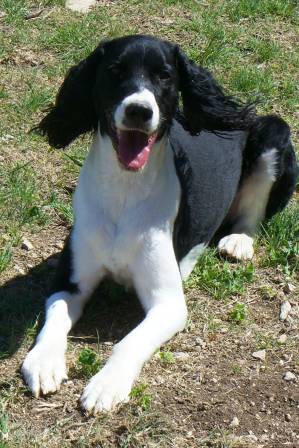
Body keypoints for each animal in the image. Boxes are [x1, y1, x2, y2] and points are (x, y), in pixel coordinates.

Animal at [21, 34, 299, 412]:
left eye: (164, 76)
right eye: (115, 70)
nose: (139, 110)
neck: (125, 190)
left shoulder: (167, 302)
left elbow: (129, 341)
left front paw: (107, 384)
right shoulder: (70, 280)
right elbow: (56, 314)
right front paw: (43, 361)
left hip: (273, 133)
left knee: (253, 212)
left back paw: (238, 240)